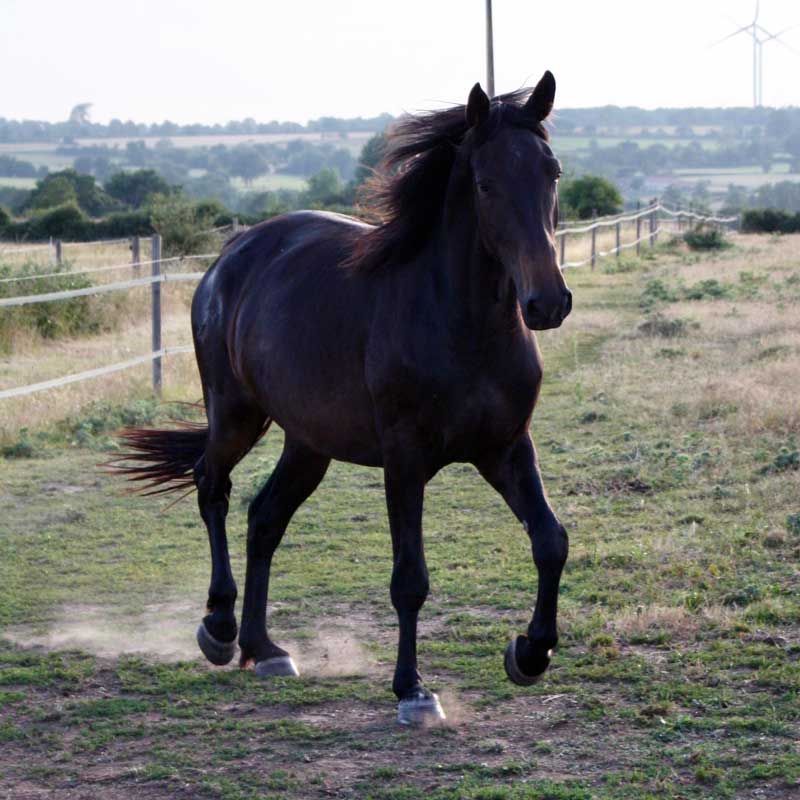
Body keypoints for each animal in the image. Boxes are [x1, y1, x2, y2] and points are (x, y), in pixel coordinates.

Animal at [114, 71, 571, 725]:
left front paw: (530, 653)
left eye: (551, 172)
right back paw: (220, 628)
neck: (462, 324)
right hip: (235, 415)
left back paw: (264, 648)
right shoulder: (405, 460)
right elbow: (410, 578)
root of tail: (228, 258)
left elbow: (550, 542)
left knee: (264, 517)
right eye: (485, 183)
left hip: (309, 443)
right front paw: (412, 690)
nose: (547, 302)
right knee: (212, 488)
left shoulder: (506, 449)